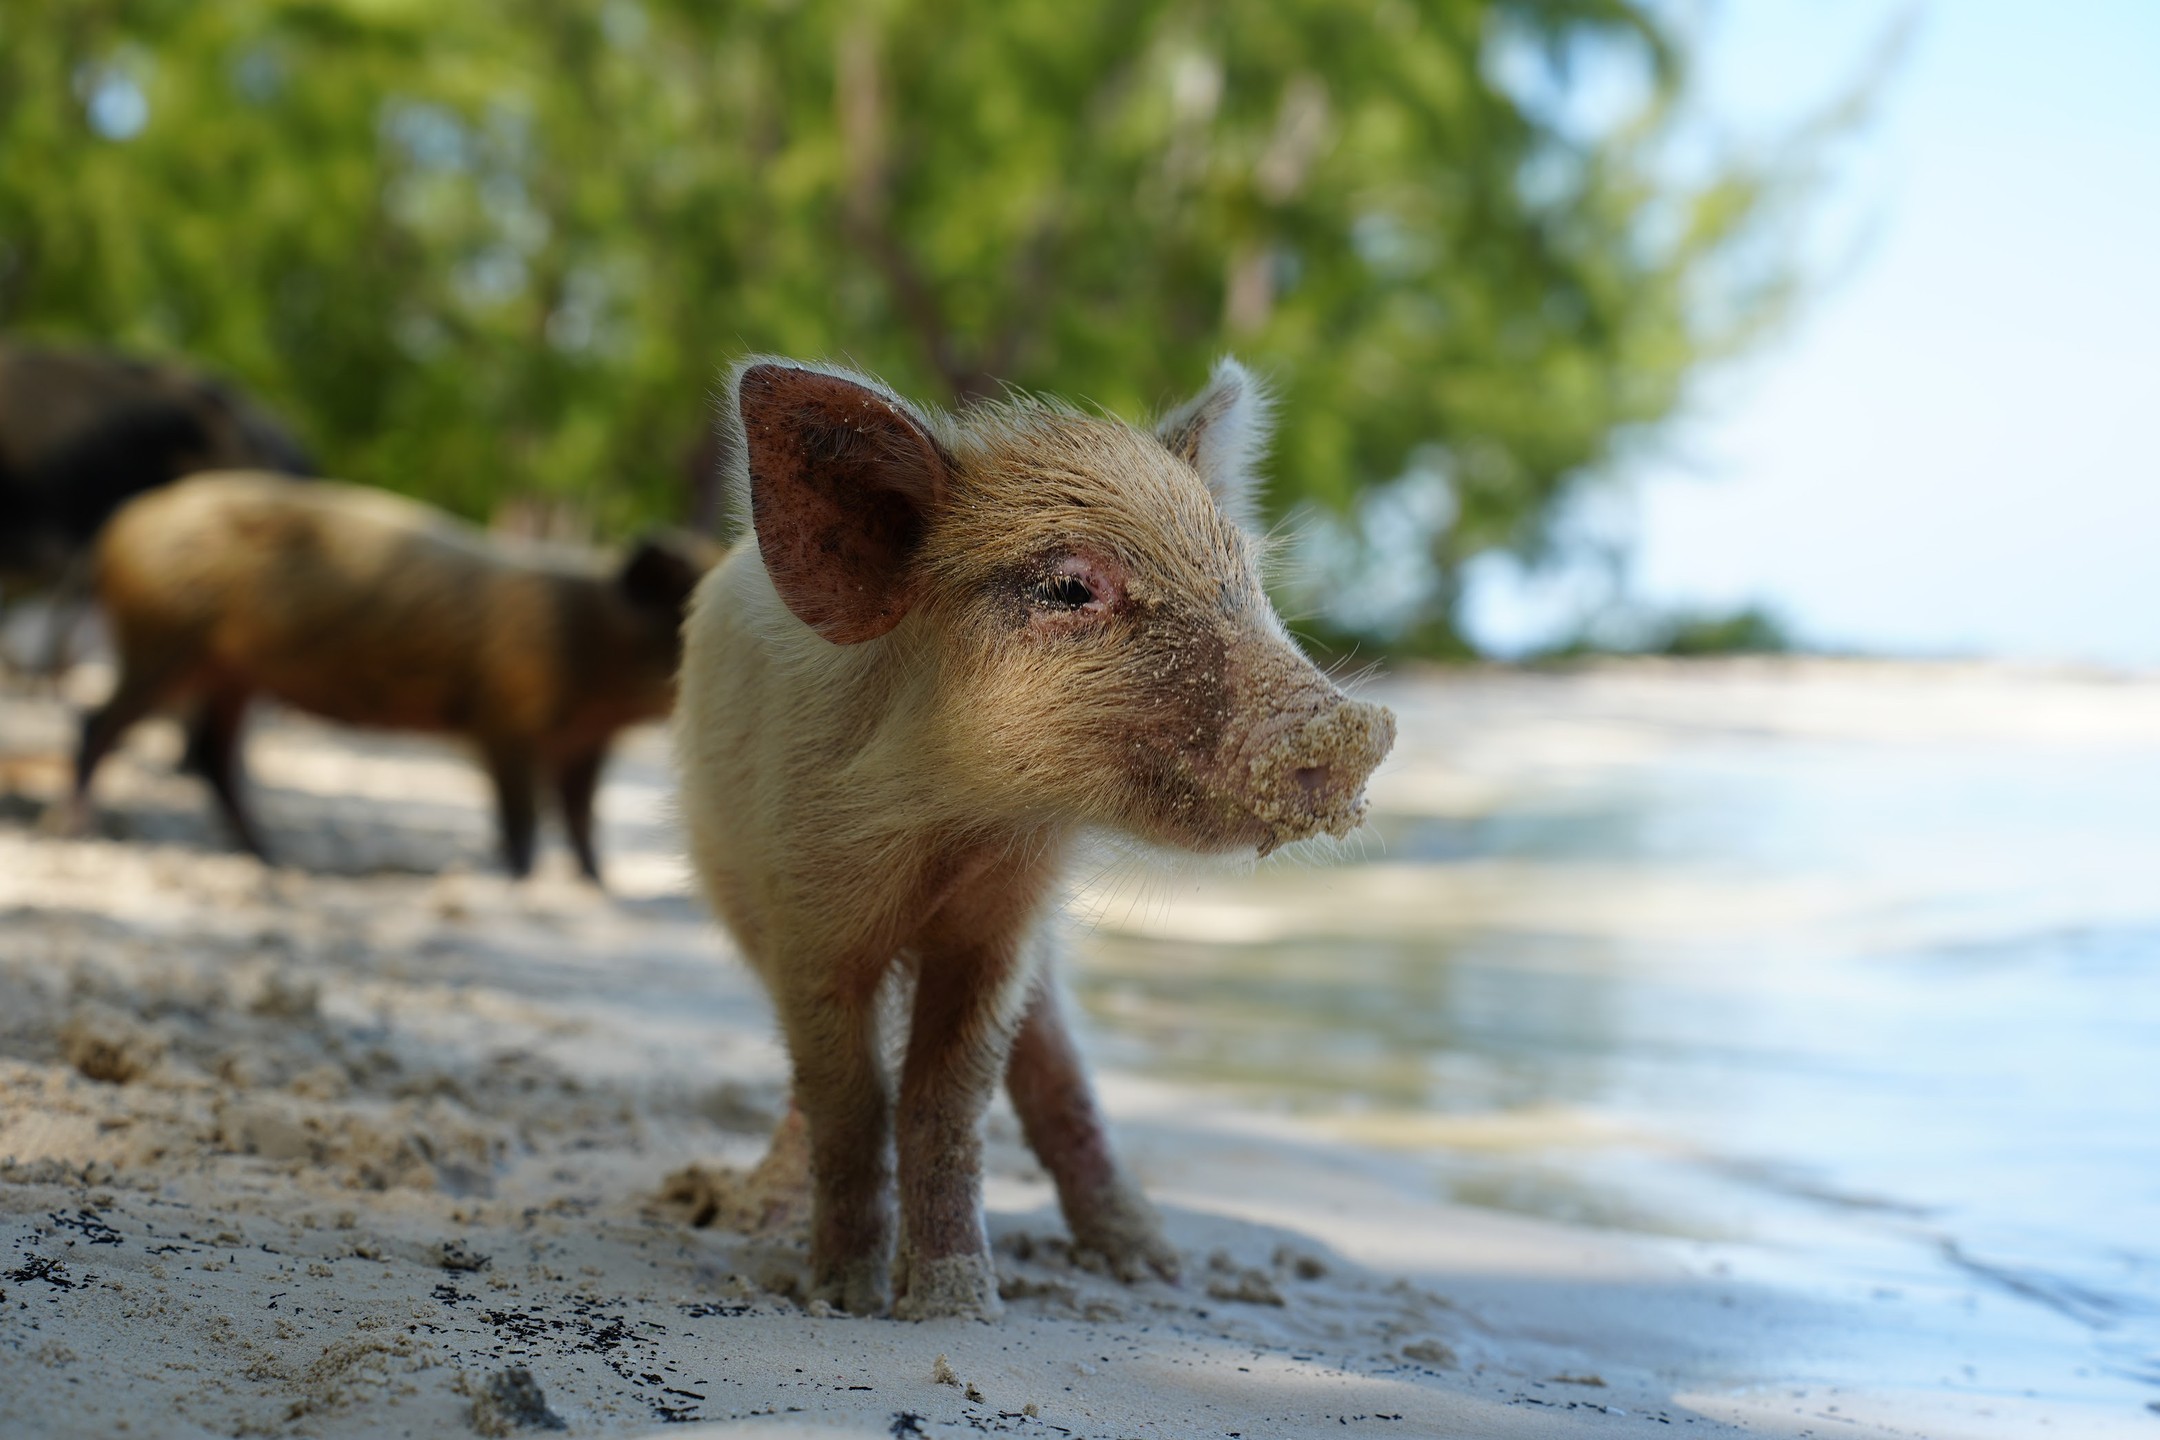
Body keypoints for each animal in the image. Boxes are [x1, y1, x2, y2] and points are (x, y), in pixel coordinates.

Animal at [65, 472, 708, 880]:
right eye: (688, 600)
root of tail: (117, 528)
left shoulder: (584, 743)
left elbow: (580, 820)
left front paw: (598, 885)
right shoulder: (505, 715)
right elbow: (523, 815)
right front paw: (522, 878)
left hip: (228, 672)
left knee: (210, 754)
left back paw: (270, 859)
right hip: (165, 641)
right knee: (99, 722)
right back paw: (79, 829)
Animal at [673, 358, 1399, 1321]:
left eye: (1244, 574)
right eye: (1069, 588)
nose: (1356, 724)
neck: (955, 833)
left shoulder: (1007, 925)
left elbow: (947, 1099)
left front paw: (956, 1306)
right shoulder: (804, 915)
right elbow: (849, 1101)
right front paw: (843, 1299)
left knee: (1058, 1066)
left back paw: (1152, 1264)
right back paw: (747, 1215)